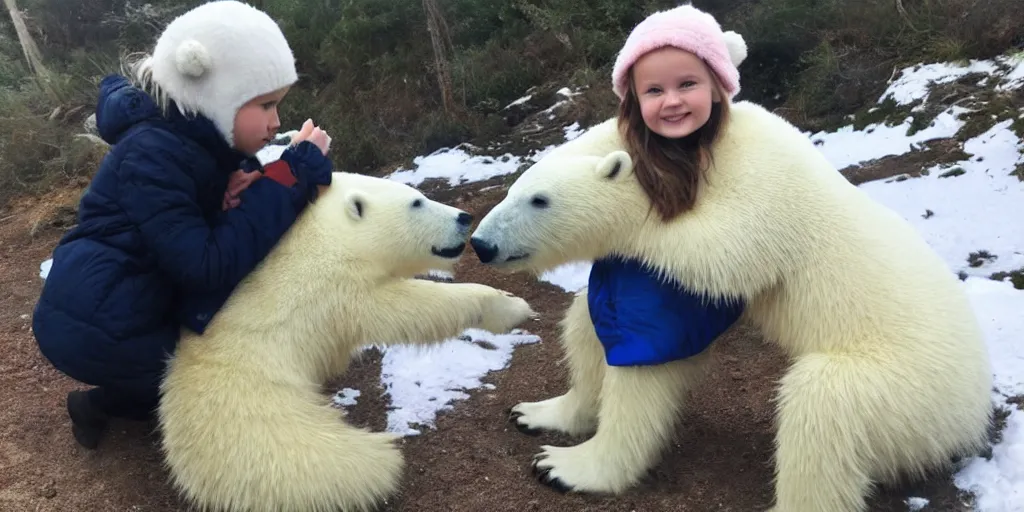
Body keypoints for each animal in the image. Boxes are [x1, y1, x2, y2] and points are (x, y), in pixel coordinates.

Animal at [157, 172, 536, 512]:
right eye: (416, 201)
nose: (463, 217)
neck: (328, 238)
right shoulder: (337, 288)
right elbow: (408, 307)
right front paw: (511, 306)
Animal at [468, 103, 991, 512]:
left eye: (539, 200)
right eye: (511, 190)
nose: (481, 244)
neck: (710, 147)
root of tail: (973, 413)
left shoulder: (765, 188)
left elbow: (720, 256)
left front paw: (562, 466)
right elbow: (602, 322)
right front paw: (540, 413)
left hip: (909, 387)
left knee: (822, 406)